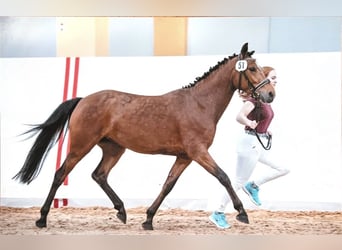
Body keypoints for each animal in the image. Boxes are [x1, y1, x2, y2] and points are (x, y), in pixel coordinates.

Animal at [14, 43, 276, 230]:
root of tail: (83, 99)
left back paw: (121, 211)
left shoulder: (185, 156)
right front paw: (242, 213)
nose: (270, 94)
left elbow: (169, 184)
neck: (200, 104)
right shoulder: (198, 151)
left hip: (114, 148)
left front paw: (148, 219)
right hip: (81, 146)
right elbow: (223, 177)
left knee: (99, 175)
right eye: (252, 68)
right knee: (60, 174)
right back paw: (42, 219)